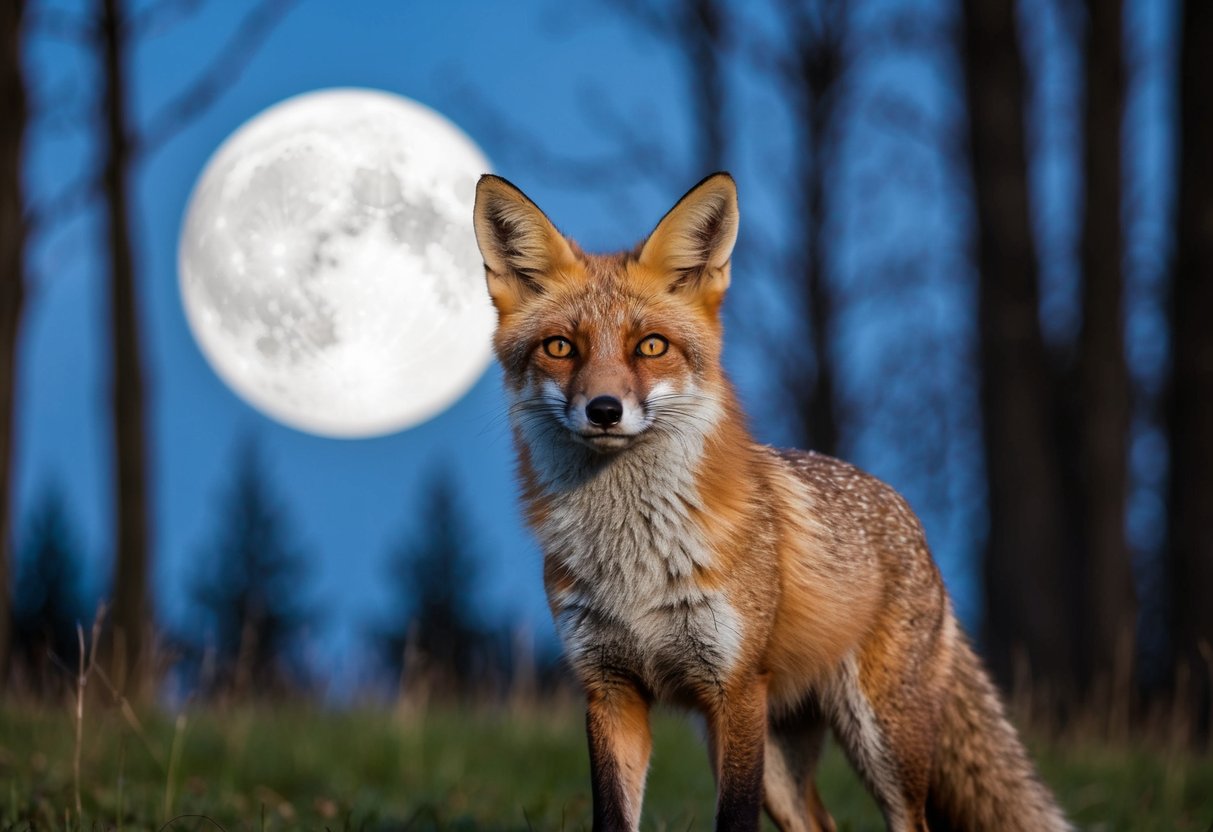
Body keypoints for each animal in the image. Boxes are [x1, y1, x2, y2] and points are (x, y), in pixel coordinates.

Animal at [472, 171, 1070, 832]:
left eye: (650, 346)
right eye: (560, 347)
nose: (604, 410)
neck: (633, 562)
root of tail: (906, 513)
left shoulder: (733, 689)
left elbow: (732, 820)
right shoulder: (610, 689)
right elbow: (613, 817)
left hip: (878, 739)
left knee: (911, 822)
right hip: (778, 761)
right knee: (822, 824)